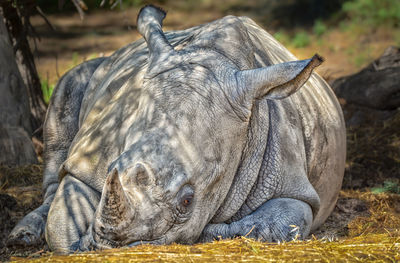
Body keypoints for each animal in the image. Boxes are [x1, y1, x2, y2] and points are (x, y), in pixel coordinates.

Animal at [7, 5, 346, 254]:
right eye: (110, 168)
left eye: (187, 201)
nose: (109, 247)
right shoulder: (87, 159)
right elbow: (61, 227)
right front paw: (78, 242)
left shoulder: (291, 182)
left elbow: (278, 225)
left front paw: (213, 232)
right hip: (91, 69)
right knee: (67, 92)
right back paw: (22, 235)